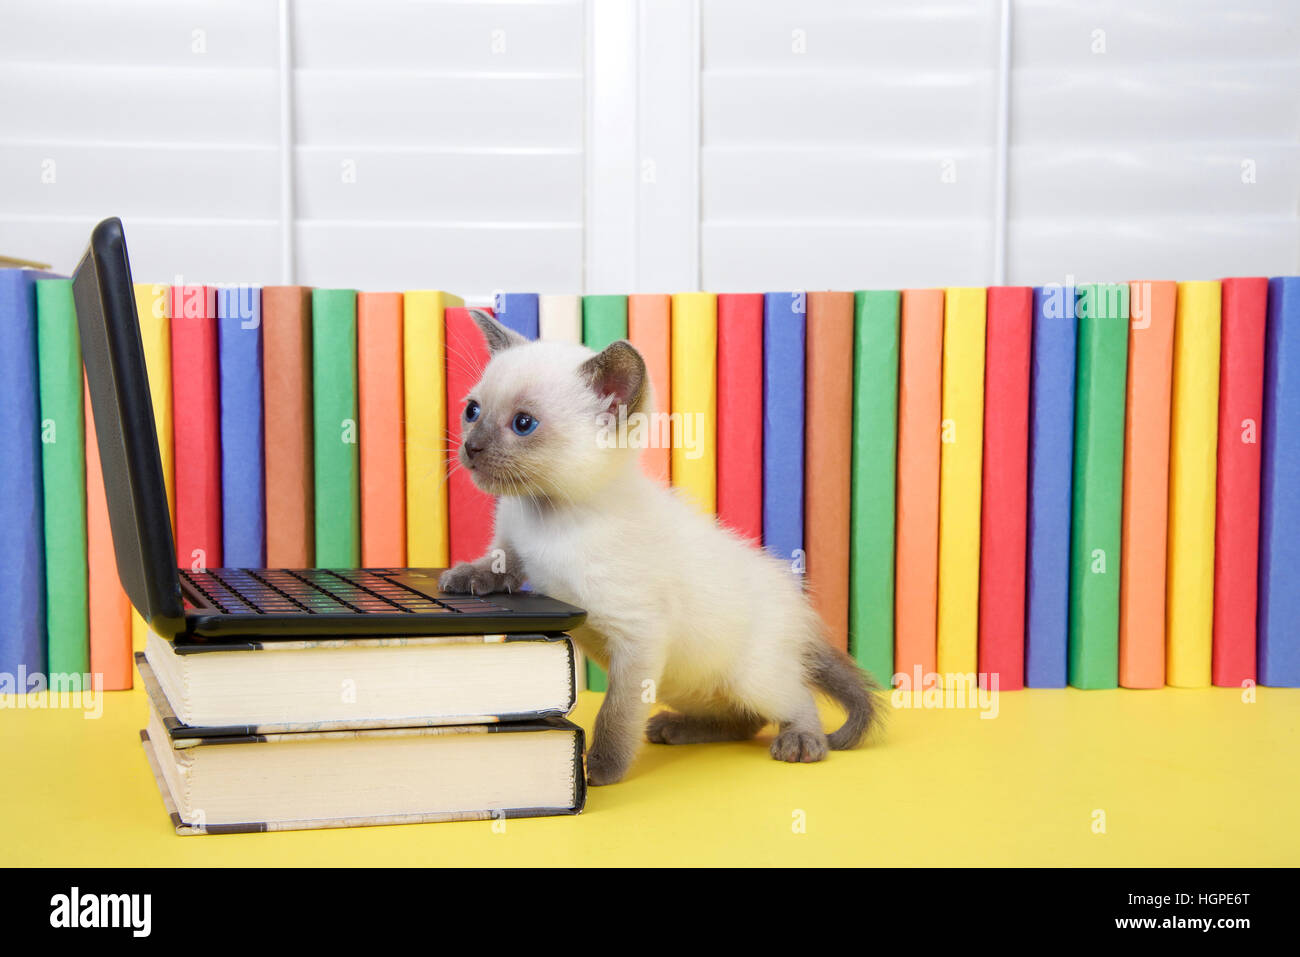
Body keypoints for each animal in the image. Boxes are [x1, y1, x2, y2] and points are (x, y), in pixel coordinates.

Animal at [441, 310, 878, 780]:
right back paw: (678, 728)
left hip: (751, 677)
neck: (548, 515)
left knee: (793, 700)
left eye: (524, 424)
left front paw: (598, 768)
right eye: (472, 411)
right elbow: (499, 563)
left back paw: (801, 741)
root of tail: (799, 611)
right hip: (689, 684)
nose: (471, 447)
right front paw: (465, 579)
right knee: (745, 719)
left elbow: (616, 714)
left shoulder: (638, 636)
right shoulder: (513, 542)